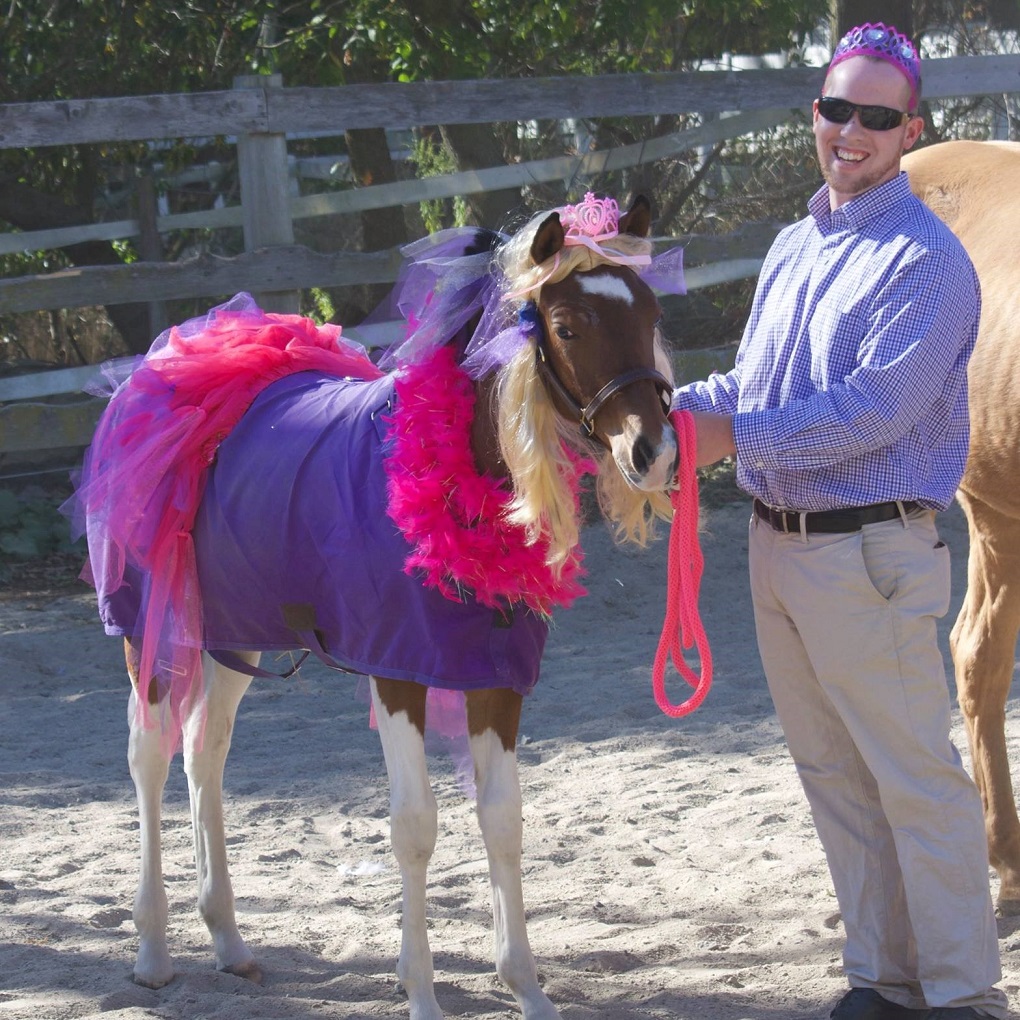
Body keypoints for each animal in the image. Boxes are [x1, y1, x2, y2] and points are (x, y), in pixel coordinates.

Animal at [71, 192, 685, 1020]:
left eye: (650, 311)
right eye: (566, 327)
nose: (655, 454)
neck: (458, 479)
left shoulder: (496, 680)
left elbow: (503, 818)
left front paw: (526, 987)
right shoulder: (398, 673)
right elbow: (415, 825)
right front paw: (420, 991)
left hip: (231, 634)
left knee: (206, 752)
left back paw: (228, 938)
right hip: (149, 629)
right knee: (149, 755)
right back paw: (153, 950)